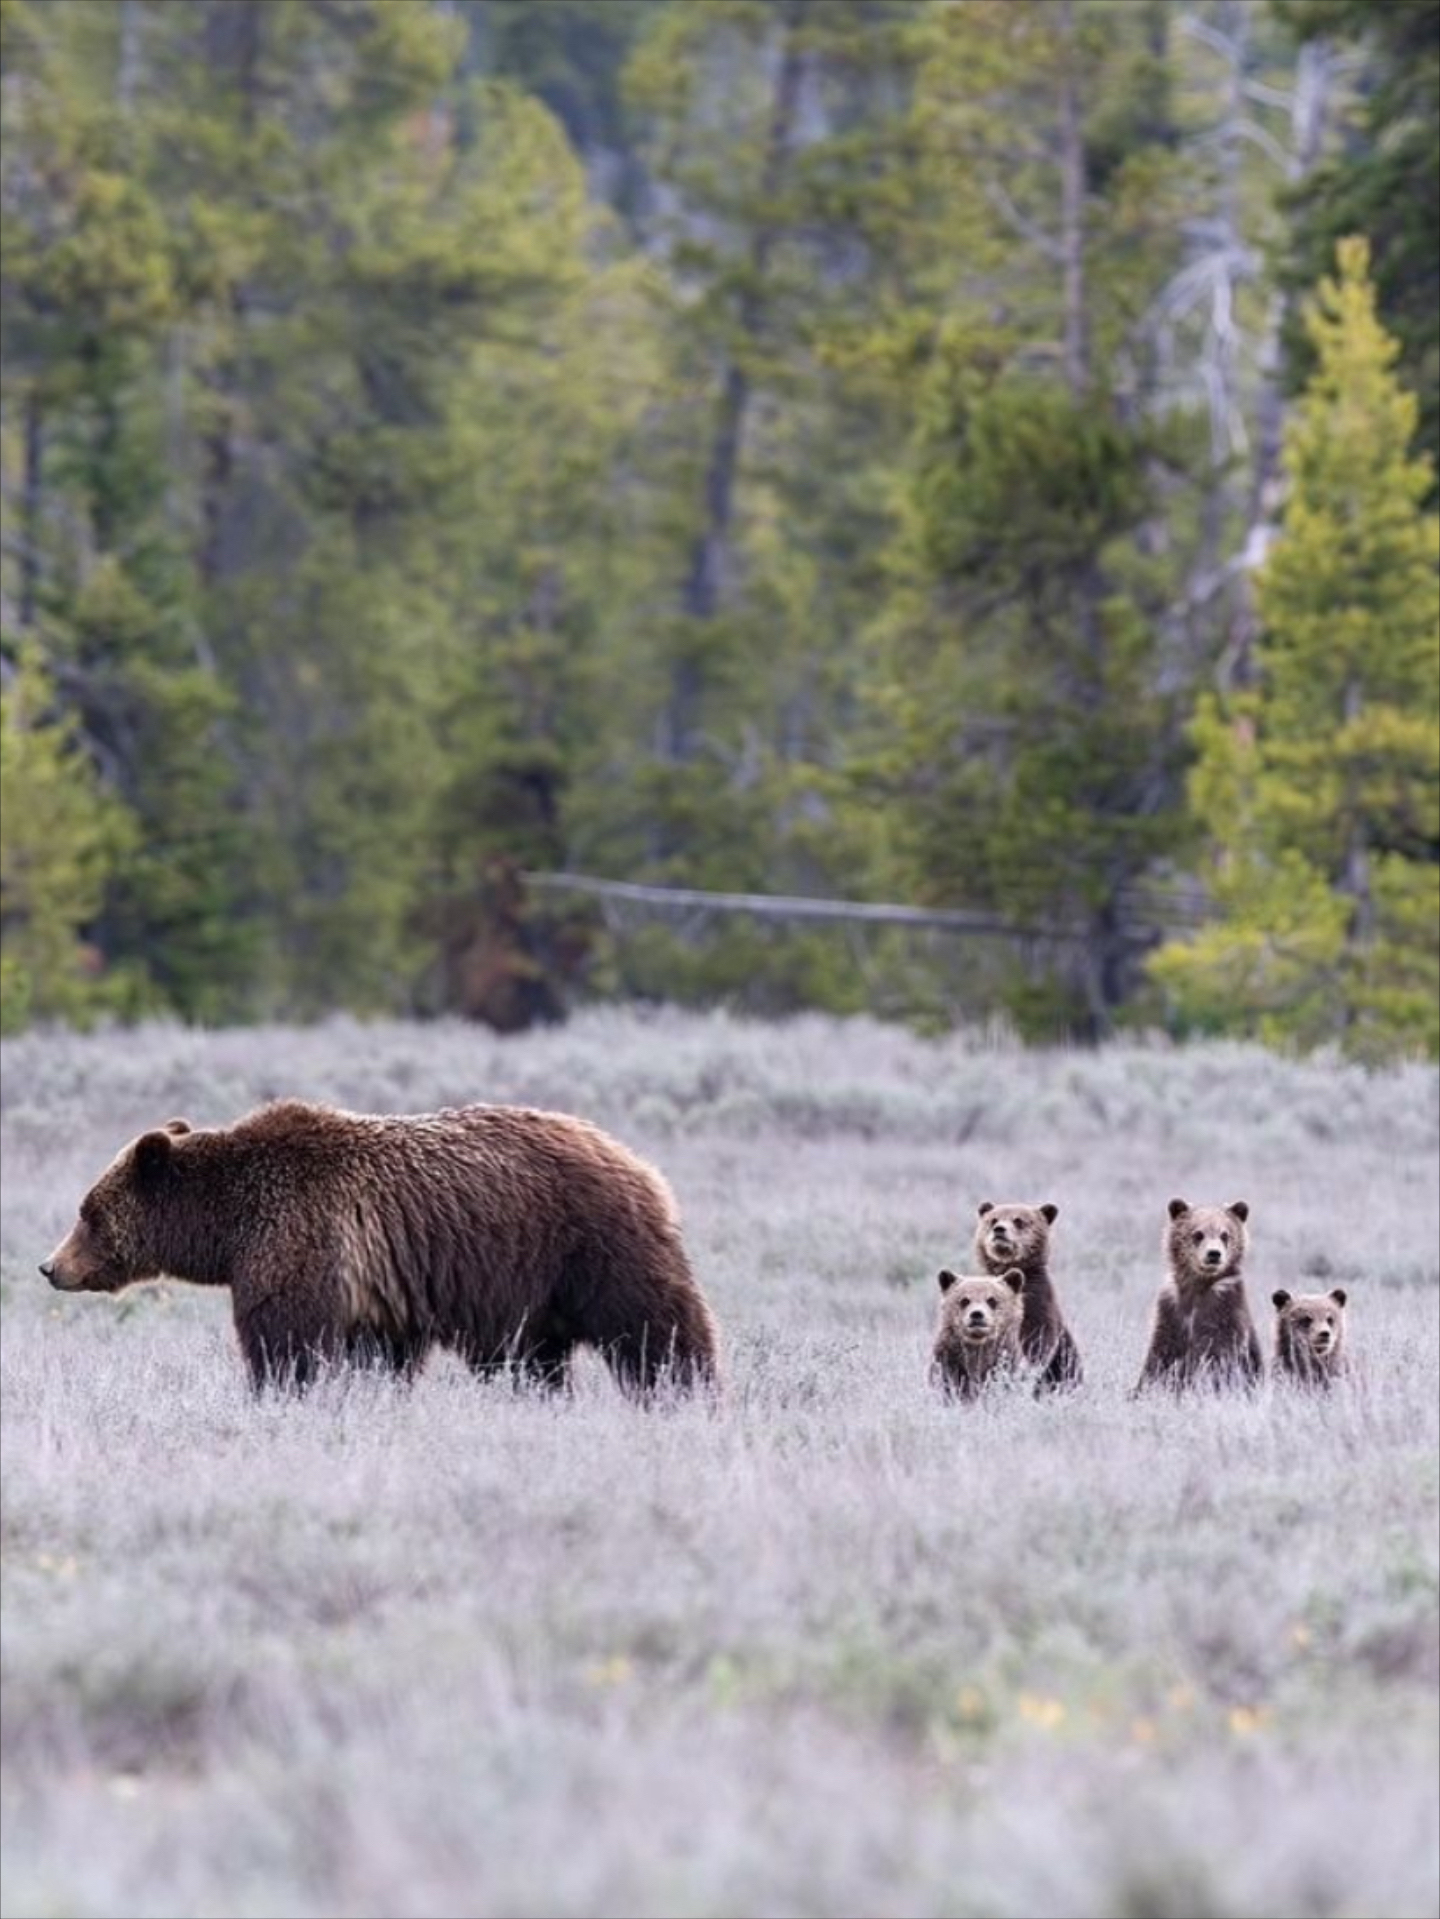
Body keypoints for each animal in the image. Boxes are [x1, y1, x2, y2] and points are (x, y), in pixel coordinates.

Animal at [43, 1113, 721, 1397]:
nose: (51, 1266)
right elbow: (376, 1357)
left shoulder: (299, 1240)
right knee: (535, 1361)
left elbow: (285, 1341)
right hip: (535, 1292)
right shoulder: (376, 1293)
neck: (228, 1224)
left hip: (588, 1245)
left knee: (654, 1326)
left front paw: (279, 1396)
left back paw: (684, 1392)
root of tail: (637, 1161)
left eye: (87, 1211)